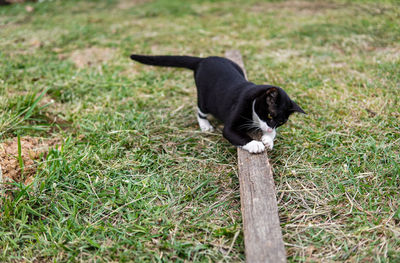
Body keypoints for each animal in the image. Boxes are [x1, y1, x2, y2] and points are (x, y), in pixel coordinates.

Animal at [130, 55, 304, 155]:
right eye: (269, 115)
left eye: (281, 122)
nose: (269, 128)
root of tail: (203, 59)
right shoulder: (237, 112)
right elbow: (235, 134)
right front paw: (256, 144)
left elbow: (272, 133)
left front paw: (268, 139)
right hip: (204, 97)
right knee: (199, 109)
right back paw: (205, 125)